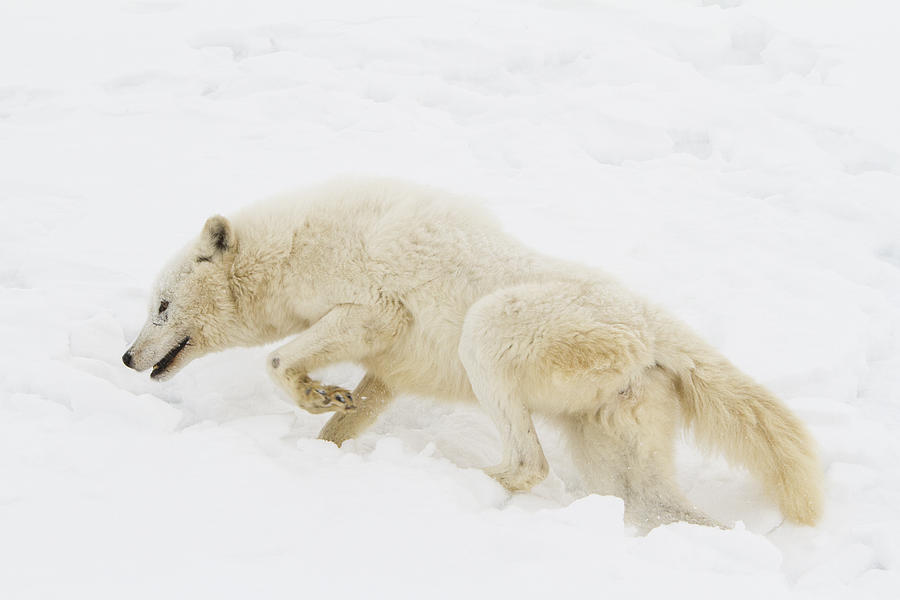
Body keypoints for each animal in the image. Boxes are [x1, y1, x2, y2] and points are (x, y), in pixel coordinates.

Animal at [125, 176, 824, 528]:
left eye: (161, 305)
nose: (129, 358)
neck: (295, 249)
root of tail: (651, 324)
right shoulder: (389, 369)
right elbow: (345, 417)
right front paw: (325, 426)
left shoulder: (372, 311)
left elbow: (276, 361)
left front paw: (316, 393)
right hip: (616, 454)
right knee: (658, 507)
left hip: (487, 333)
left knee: (528, 463)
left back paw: (457, 477)